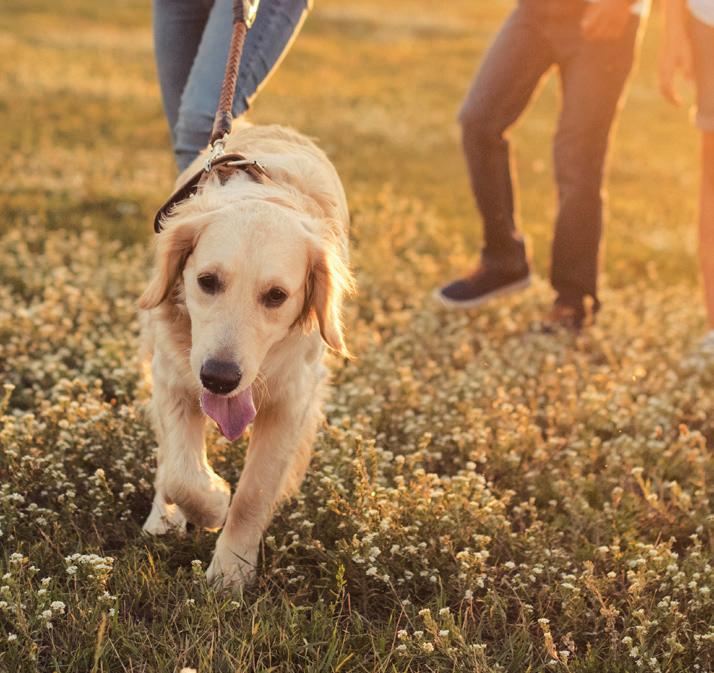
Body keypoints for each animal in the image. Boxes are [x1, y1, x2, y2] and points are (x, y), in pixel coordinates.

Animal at [138, 123, 352, 584]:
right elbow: (181, 472)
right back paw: (162, 517)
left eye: (276, 296)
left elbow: (254, 493)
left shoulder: (292, 401)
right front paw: (211, 503)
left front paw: (231, 572)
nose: (220, 378)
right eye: (207, 281)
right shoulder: (172, 376)